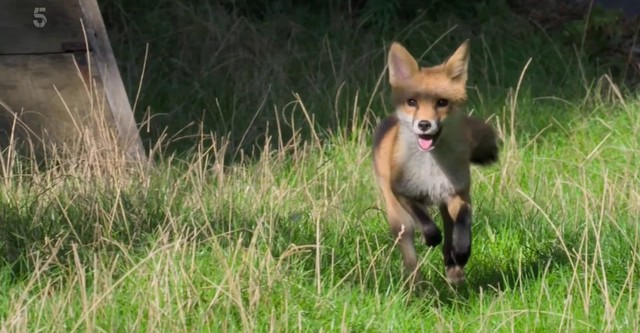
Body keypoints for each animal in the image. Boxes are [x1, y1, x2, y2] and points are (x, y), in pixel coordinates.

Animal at [370, 40, 500, 286]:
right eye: (412, 102)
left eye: (442, 103)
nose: (424, 124)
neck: (431, 169)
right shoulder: (401, 191)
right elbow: (424, 220)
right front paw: (431, 237)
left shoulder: (458, 193)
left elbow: (464, 221)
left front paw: (461, 252)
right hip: (398, 219)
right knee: (410, 253)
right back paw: (417, 285)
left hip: (443, 206)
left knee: (450, 237)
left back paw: (454, 269)